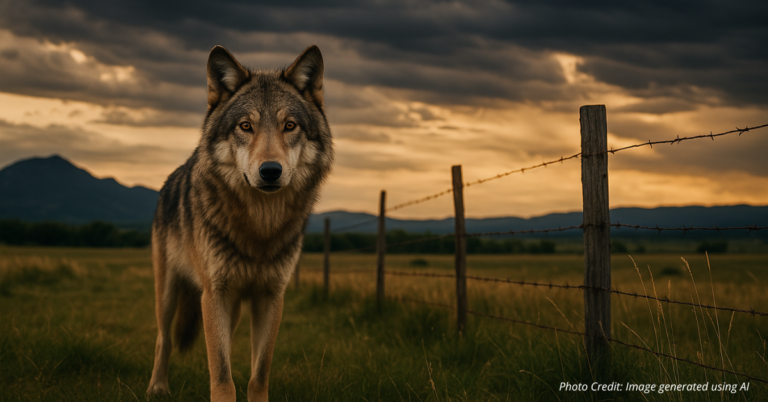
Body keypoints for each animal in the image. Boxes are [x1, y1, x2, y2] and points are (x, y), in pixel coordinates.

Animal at [146, 45, 333, 402]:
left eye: (290, 126)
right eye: (246, 126)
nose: (270, 171)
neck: (259, 226)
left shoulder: (271, 297)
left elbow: (258, 373)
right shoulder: (214, 294)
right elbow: (221, 373)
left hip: (230, 307)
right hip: (169, 292)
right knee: (163, 338)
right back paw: (157, 388)